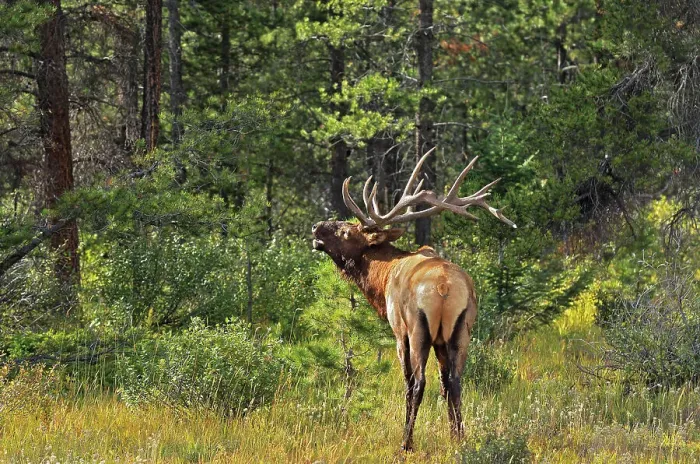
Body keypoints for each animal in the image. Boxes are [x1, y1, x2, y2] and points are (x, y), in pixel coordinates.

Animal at [311, 148, 516, 451]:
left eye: (347, 231)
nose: (316, 228)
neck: (381, 280)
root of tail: (444, 287)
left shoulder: (399, 331)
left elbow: (408, 382)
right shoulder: (443, 339)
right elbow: (445, 385)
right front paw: (453, 434)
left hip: (419, 328)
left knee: (419, 383)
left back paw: (406, 442)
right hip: (461, 330)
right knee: (455, 381)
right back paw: (460, 438)